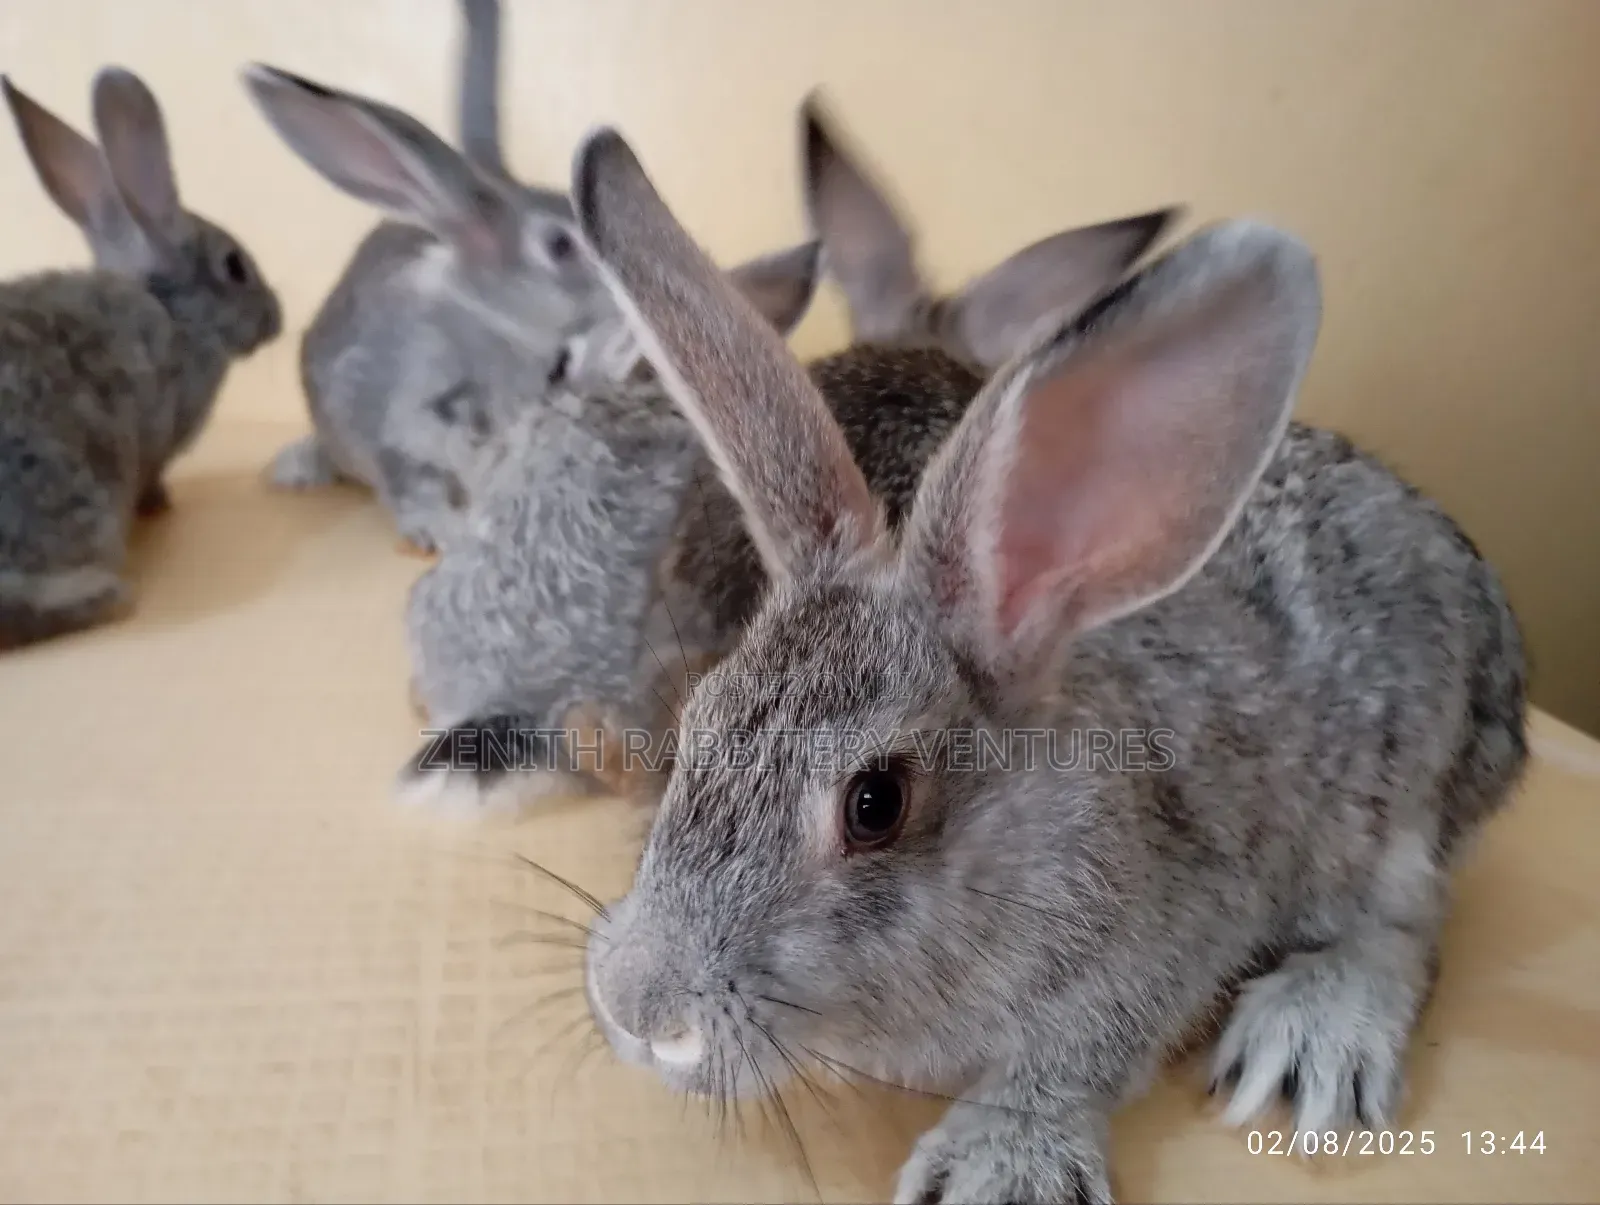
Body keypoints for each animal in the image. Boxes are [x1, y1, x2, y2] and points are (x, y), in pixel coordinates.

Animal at [245, 0, 612, 555]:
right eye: (562, 245)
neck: (492, 321)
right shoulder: (391, 422)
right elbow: (414, 485)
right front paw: (444, 531)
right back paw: (296, 468)